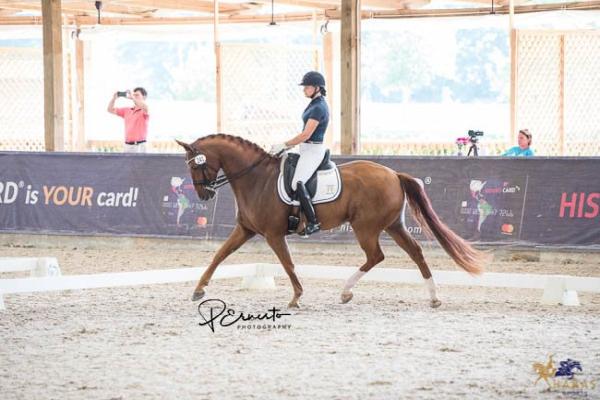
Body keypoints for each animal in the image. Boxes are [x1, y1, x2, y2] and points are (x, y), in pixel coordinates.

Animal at [176, 136, 486, 308]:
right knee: (415, 252)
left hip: (366, 227)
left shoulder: (274, 234)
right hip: (393, 225)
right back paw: (433, 297)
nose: (205, 195)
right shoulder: (246, 230)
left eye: (195, 165)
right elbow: (219, 255)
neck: (256, 179)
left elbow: (288, 263)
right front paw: (198, 290)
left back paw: (346, 292)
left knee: (376, 256)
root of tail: (394, 174)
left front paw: (297, 297)